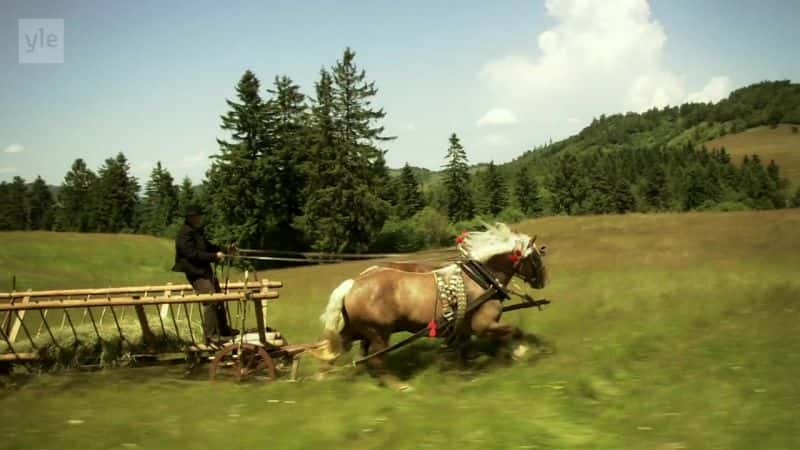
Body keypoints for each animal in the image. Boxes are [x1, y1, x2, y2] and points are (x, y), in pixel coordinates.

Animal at [310, 223, 548, 388]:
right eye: (536, 258)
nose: (543, 280)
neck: (481, 279)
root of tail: (353, 284)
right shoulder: (484, 325)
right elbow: (513, 330)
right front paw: (520, 350)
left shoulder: (464, 328)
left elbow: (463, 349)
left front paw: (462, 371)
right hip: (378, 333)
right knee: (376, 359)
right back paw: (400, 386)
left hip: (355, 330)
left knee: (335, 350)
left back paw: (323, 377)